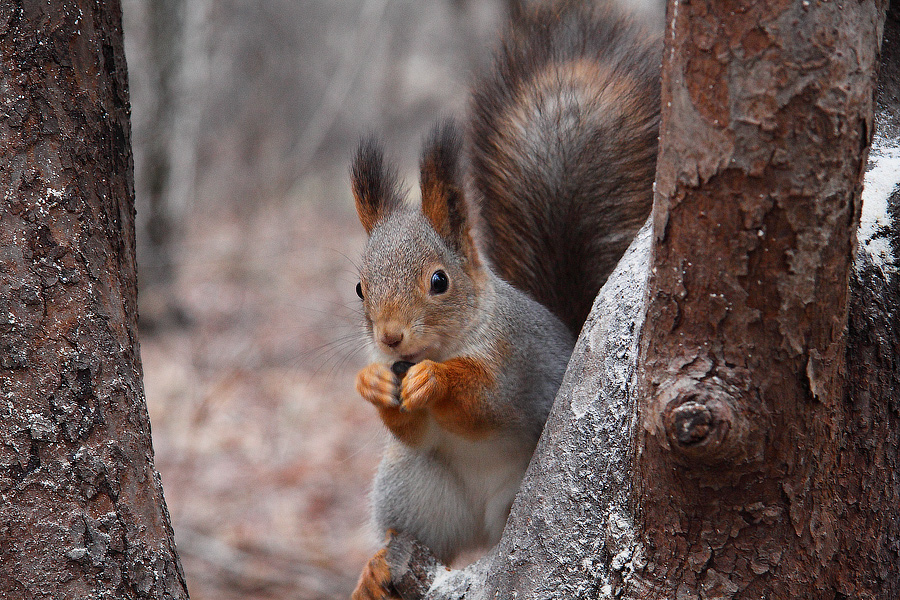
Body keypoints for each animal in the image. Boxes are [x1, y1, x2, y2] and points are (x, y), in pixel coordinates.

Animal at [348, 2, 656, 596]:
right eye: (359, 287)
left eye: (439, 281)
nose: (390, 338)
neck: (449, 343)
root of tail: (482, 529)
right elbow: (413, 426)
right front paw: (373, 383)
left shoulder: (517, 366)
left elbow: (484, 402)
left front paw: (438, 381)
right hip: (414, 485)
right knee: (422, 535)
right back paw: (375, 569)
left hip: (516, 494)